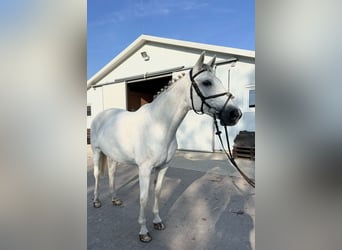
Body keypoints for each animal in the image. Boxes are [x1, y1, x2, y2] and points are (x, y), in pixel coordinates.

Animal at [89, 51, 242, 241]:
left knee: (112, 174)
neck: (158, 125)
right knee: (97, 175)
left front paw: (157, 221)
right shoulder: (145, 169)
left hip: (113, 156)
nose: (235, 114)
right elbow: (143, 198)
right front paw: (143, 232)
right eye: (207, 82)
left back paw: (115, 199)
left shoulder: (163, 167)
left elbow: (157, 192)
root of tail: (100, 116)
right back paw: (96, 201)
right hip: (97, 152)